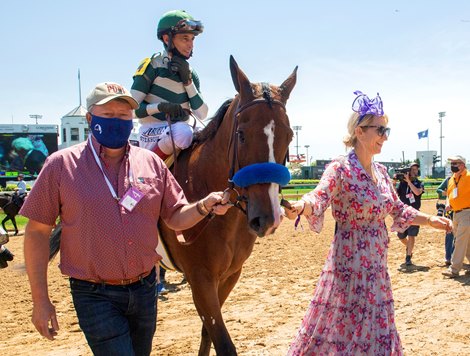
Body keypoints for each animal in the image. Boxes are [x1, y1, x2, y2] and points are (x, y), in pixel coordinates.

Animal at [160, 56, 296, 356]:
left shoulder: (231, 274)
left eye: (290, 136)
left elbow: (206, 333)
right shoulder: (201, 279)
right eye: (242, 134)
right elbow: (221, 341)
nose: (267, 218)